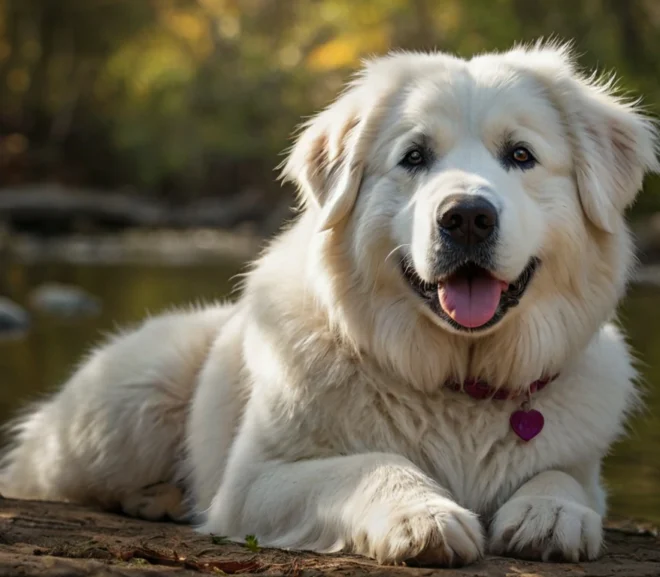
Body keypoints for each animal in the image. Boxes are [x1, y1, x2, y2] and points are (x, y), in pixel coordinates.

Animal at [1, 42, 660, 564]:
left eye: (521, 155)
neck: (457, 382)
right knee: (42, 475)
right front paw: (422, 515)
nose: (468, 217)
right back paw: (154, 495)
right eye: (415, 157)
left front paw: (552, 513)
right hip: (129, 406)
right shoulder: (257, 481)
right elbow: (368, 463)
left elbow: (562, 475)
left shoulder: (580, 463)